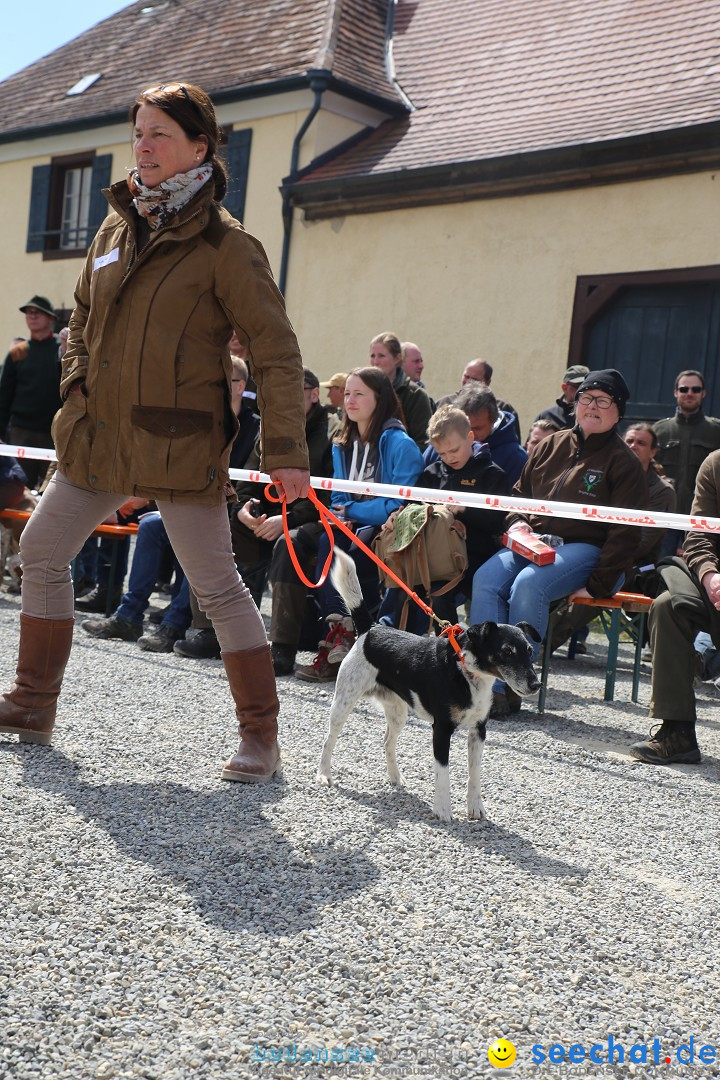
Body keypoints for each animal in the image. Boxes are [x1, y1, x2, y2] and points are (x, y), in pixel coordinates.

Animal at [317, 548, 539, 816]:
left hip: (397, 712)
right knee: (329, 740)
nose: (535, 685)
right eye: (507, 651)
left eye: (529, 651)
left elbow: (474, 775)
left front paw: (475, 808)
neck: (466, 672)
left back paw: (395, 778)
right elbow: (443, 774)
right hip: (343, 703)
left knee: (387, 743)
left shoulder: (479, 730)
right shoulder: (441, 729)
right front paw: (443, 810)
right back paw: (323, 775)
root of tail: (370, 630)